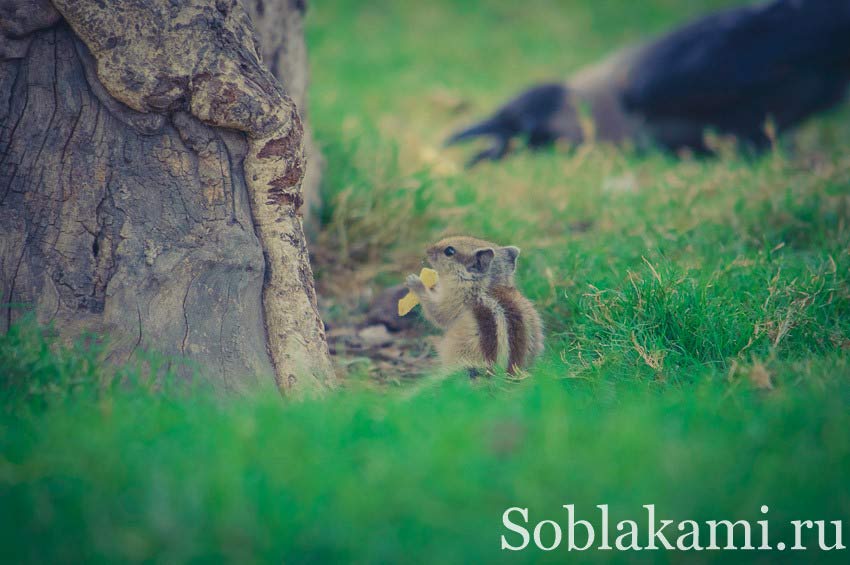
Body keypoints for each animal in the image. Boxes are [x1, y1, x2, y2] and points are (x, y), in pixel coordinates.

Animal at [406, 235, 544, 374]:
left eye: (449, 251)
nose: (427, 250)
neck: (486, 284)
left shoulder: (455, 298)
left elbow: (438, 312)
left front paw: (415, 282)